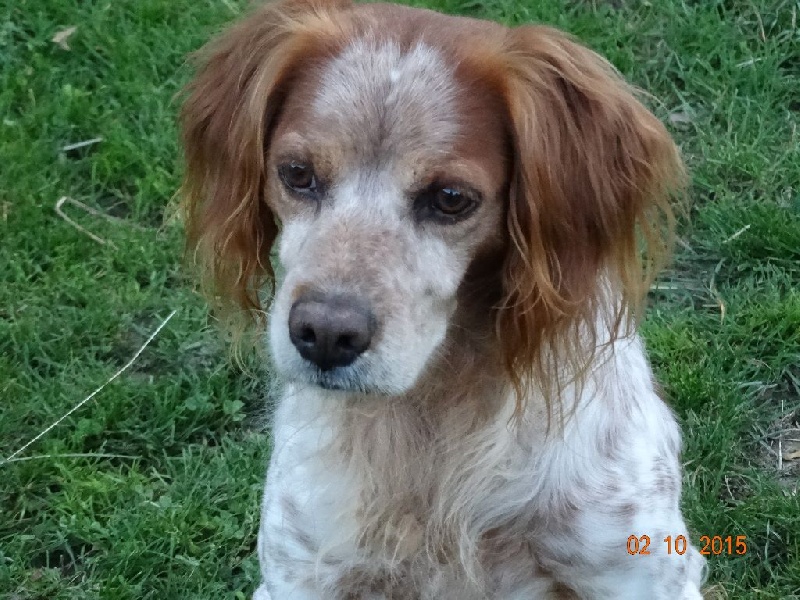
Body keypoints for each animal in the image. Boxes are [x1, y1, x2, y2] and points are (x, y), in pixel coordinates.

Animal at [180, 0, 706, 597]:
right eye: (296, 173)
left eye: (451, 198)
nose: (325, 335)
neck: (434, 411)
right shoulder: (303, 572)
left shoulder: (640, 572)